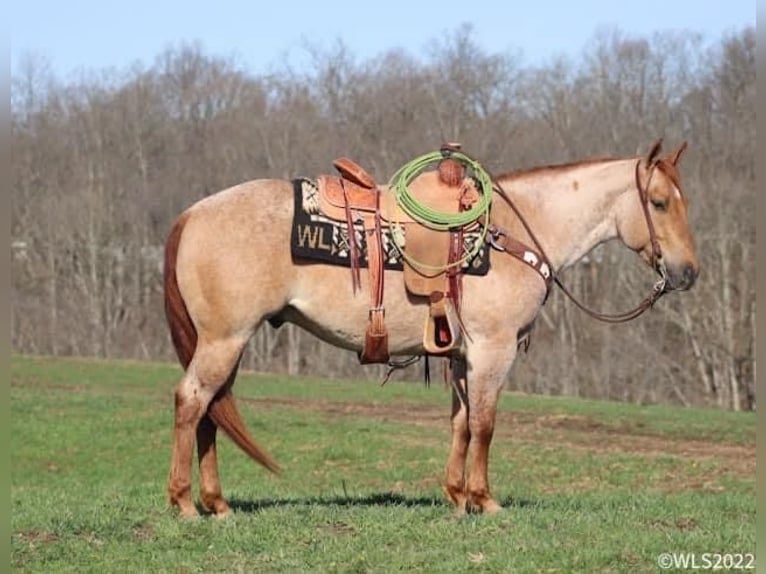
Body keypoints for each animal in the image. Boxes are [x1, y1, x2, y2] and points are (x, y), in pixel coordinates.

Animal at [164, 141, 704, 520]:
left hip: (227, 343)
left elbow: (461, 423)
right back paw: (185, 502)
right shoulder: (493, 350)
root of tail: (192, 213)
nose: (688, 273)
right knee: (192, 401)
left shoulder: (464, 356)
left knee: (212, 408)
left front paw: (457, 496)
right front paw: (485, 500)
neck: (513, 233)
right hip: (224, 339)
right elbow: (485, 424)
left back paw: (217, 503)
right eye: (659, 203)